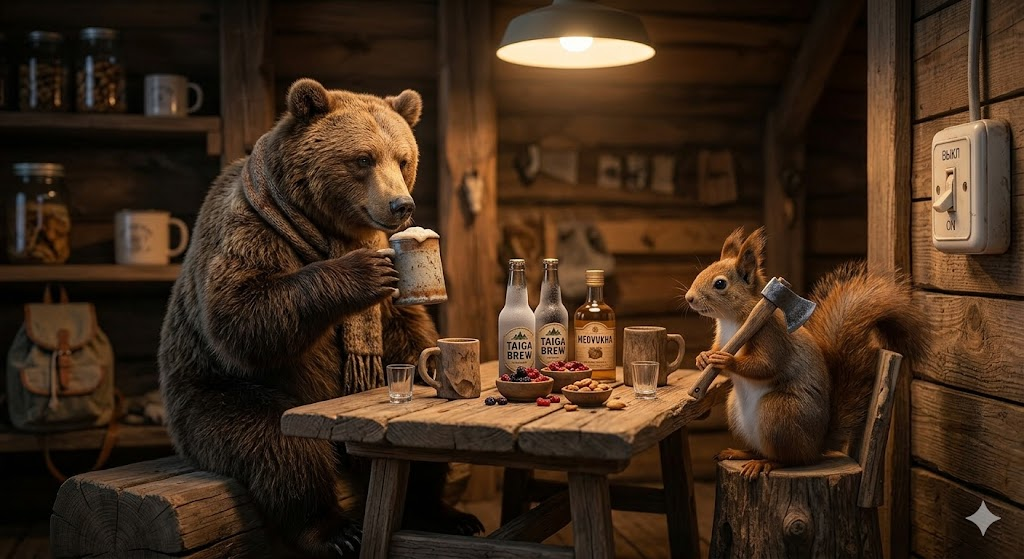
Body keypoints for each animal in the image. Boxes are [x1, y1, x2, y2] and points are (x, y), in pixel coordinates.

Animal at [684, 226, 925, 480]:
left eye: (720, 284)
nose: (689, 298)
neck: (731, 320)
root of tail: (817, 446)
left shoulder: (771, 333)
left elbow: (767, 364)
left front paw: (725, 360)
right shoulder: (722, 338)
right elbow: (718, 353)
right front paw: (703, 358)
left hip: (779, 412)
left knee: (791, 459)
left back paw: (766, 463)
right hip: (736, 411)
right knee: (761, 450)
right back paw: (740, 453)